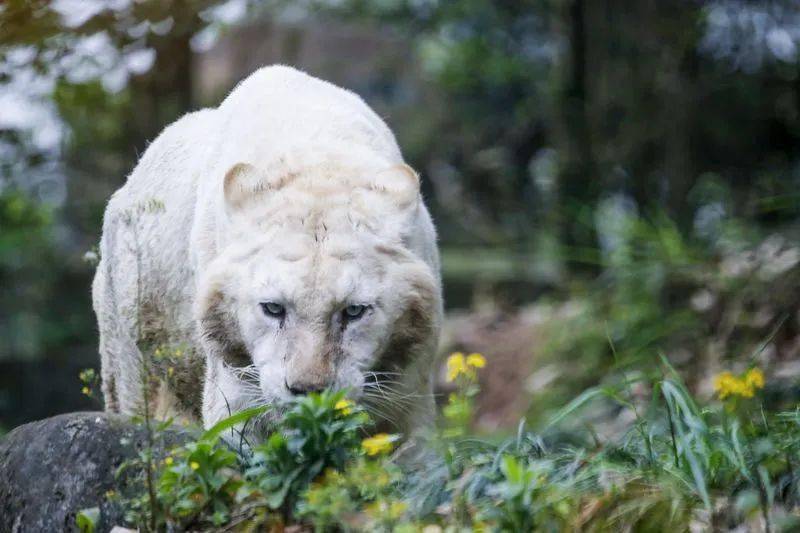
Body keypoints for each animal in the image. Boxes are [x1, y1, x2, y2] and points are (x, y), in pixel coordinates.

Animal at [95, 65, 444, 436]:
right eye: (273, 308)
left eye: (353, 311)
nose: (310, 391)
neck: (318, 162)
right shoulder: (234, 392)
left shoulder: (411, 396)